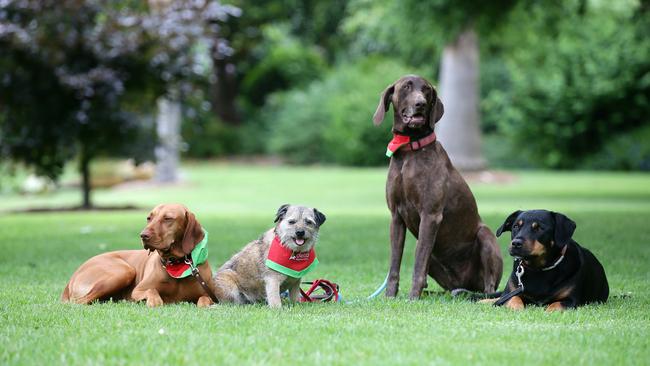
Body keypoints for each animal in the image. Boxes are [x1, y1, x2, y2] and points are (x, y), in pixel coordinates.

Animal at [60, 204, 218, 308]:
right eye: (149, 218)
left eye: (168, 218)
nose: (143, 235)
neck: (176, 263)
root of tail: (72, 277)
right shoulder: (139, 290)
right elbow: (152, 291)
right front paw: (154, 301)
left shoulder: (208, 293)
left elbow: (204, 300)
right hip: (124, 271)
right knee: (80, 302)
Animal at [370, 75, 502, 300]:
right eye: (406, 87)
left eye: (427, 90)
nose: (420, 104)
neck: (409, 150)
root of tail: (463, 285)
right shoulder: (396, 217)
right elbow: (394, 263)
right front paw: (390, 296)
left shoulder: (430, 215)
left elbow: (417, 264)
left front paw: (412, 298)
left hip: (485, 235)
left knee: (489, 286)